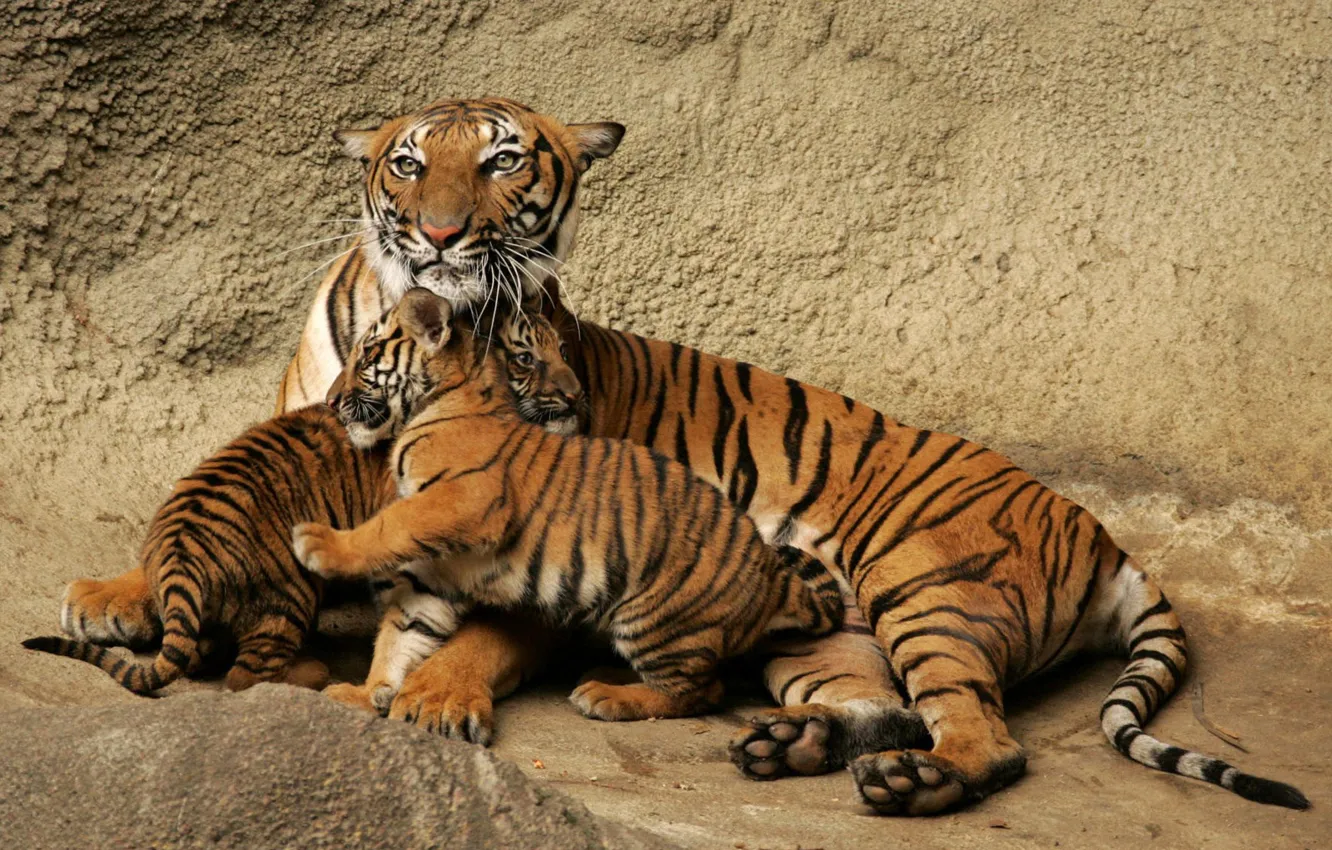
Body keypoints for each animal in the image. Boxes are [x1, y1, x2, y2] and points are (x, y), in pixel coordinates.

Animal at [290, 289, 846, 723]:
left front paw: (317, 544)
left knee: (703, 691)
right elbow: (403, 632)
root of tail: (772, 578)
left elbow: (390, 526)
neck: (443, 399)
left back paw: (608, 696)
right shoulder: (437, 568)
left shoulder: (463, 500)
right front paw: (364, 693)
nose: (332, 401)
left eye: (367, 356)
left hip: (653, 617)